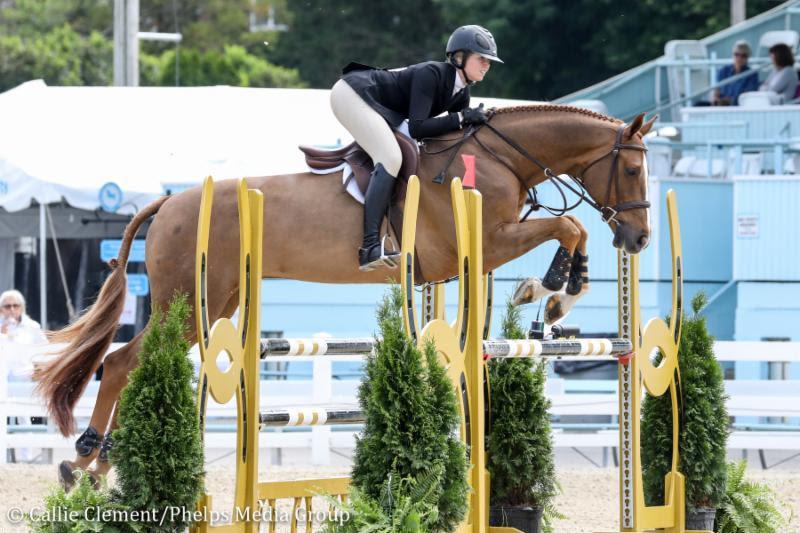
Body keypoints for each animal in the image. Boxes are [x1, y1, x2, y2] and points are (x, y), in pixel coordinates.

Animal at [34, 105, 652, 486]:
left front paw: (556, 295)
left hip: (216, 303)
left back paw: (99, 467)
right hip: (188, 304)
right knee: (120, 363)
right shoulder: (485, 242)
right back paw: (85, 458)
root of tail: (169, 202)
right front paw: (548, 291)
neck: (501, 157)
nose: (639, 238)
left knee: (132, 363)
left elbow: (571, 229)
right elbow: (568, 226)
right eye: (631, 169)